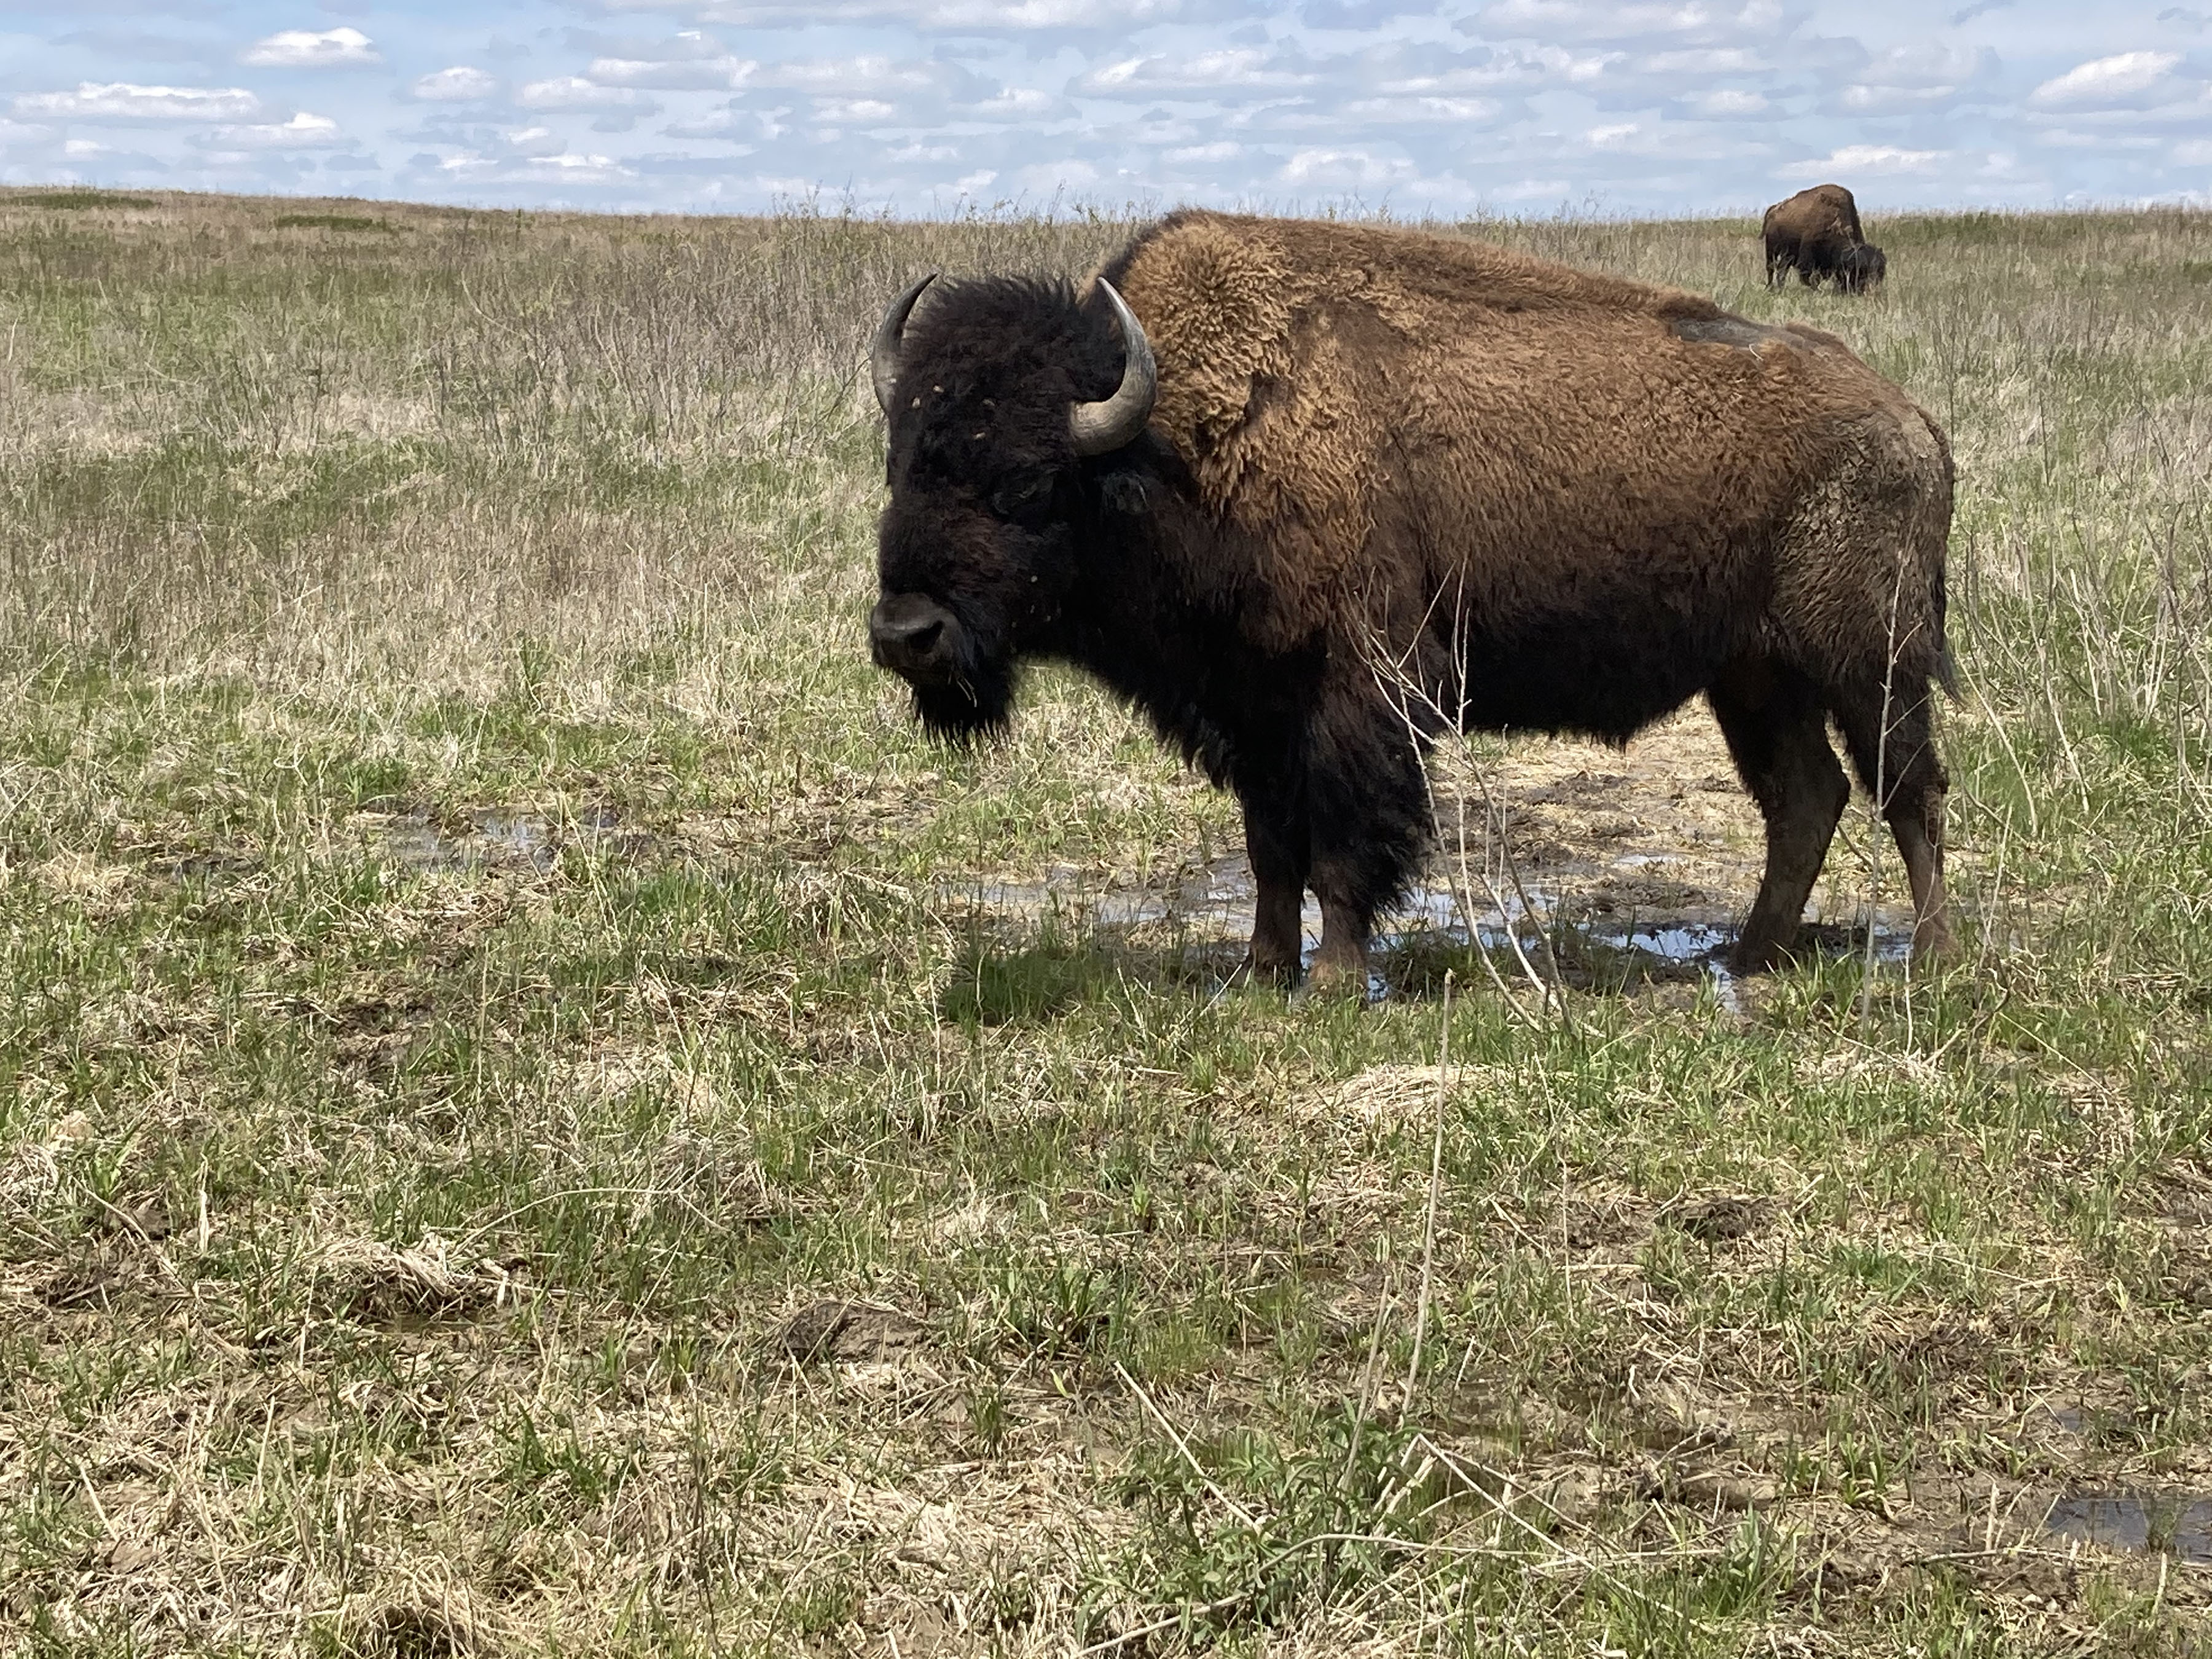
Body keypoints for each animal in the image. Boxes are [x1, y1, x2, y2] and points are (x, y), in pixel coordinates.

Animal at [863, 208, 1955, 986]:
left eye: (1024, 484)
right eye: (902, 461)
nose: (907, 633)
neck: (1170, 447)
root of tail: (1908, 417)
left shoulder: (1364, 688)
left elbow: (1345, 839)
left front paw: (1339, 978)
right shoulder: (1253, 706)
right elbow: (1271, 846)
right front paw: (1260, 970)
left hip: (1869, 659)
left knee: (1907, 788)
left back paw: (1933, 955)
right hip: (1756, 675)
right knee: (1808, 796)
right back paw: (1750, 955)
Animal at [1760, 184, 1885, 296]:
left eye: (1880, 271)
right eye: (1858, 271)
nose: (1859, 291)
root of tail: (1774, 210)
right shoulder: (1808, 256)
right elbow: (1808, 277)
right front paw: (1818, 291)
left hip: (1788, 254)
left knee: (1782, 269)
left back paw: (1781, 288)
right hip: (1772, 248)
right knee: (1771, 268)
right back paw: (1770, 288)